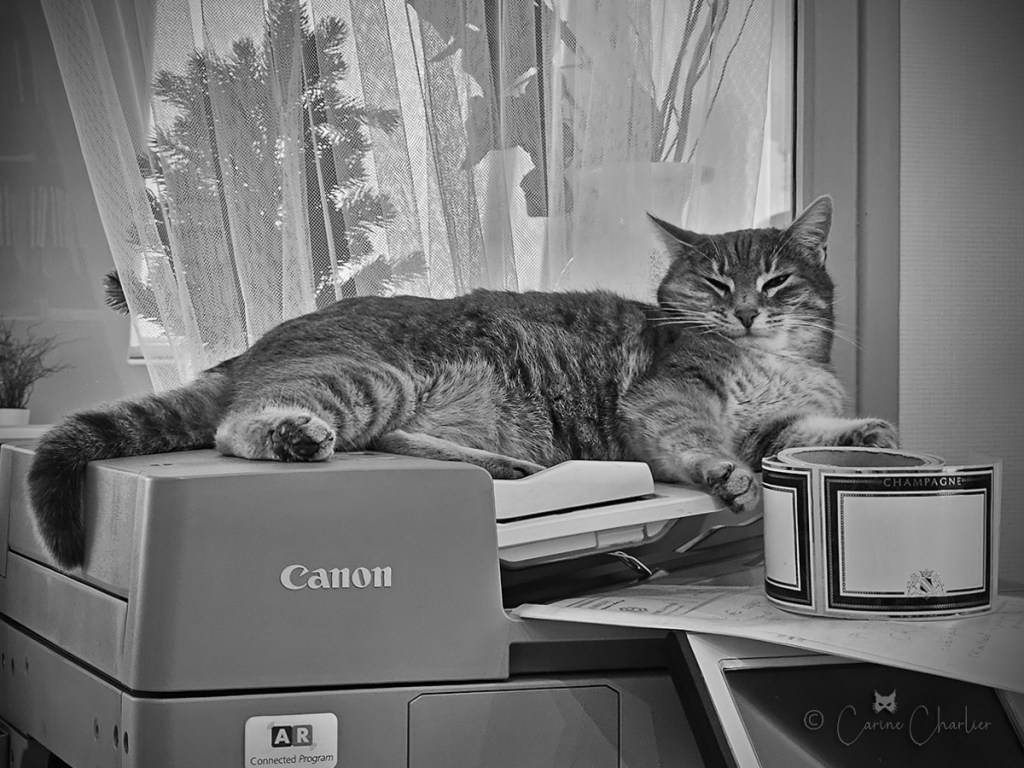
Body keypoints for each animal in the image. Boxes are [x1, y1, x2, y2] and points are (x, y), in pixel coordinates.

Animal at [27, 194, 896, 570]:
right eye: (715, 286)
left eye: (777, 282)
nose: (747, 312)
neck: (777, 363)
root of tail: (252, 349)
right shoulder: (665, 400)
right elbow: (704, 444)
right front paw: (727, 476)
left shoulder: (773, 423)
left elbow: (800, 438)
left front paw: (866, 433)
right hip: (367, 376)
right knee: (238, 430)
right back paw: (292, 435)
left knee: (388, 441)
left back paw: (503, 467)